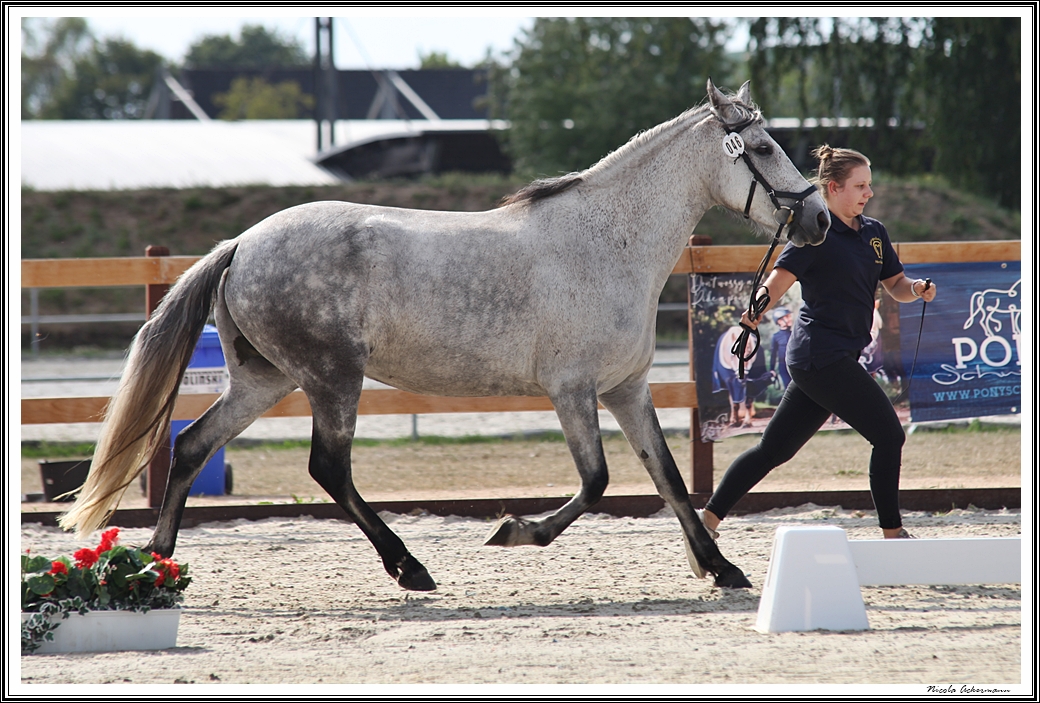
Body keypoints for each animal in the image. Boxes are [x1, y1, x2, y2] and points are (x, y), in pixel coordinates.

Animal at [62, 79, 827, 590]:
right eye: (763, 147)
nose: (817, 219)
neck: (609, 240)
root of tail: (242, 243)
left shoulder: (627, 389)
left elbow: (666, 478)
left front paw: (721, 566)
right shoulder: (572, 389)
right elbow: (597, 482)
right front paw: (516, 531)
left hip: (265, 379)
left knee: (192, 445)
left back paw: (158, 561)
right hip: (331, 380)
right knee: (328, 469)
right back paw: (410, 566)